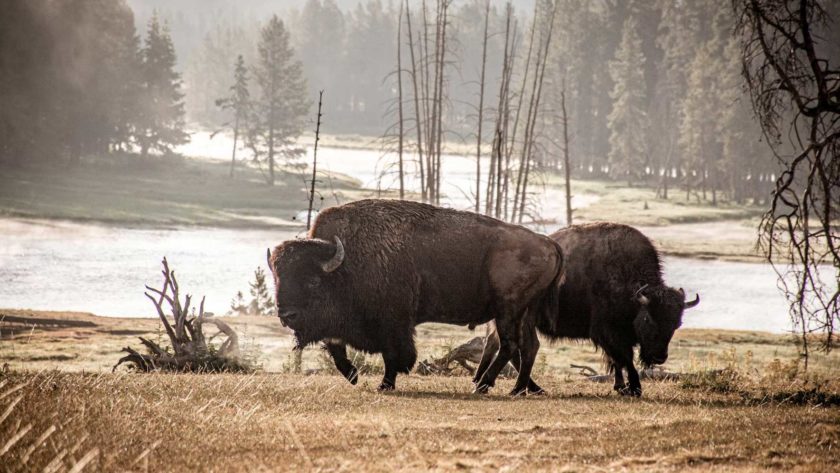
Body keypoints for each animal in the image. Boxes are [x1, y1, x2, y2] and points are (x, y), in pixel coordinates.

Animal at [266, 199, 560, 394]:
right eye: (277, 279)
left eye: (313, 281)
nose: (286, 315)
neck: (345, 263)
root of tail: (547, 242)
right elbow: (336, 347)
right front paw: (353, 376)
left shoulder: (394, 323)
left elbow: (393, 354)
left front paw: (385, 385)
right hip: (522, 312)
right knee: (527, 346)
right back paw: (521, 389)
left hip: (508, 310)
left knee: (510, 345)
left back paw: (485, 385)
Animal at [476, 221, 700, 394]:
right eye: (648, 319)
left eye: (677, 323)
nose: (659, 357)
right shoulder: (607, 332)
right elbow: (624, 358)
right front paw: (634, 388)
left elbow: (617, 361)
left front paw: (620, 387)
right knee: (514, 348)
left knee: (498, 344)